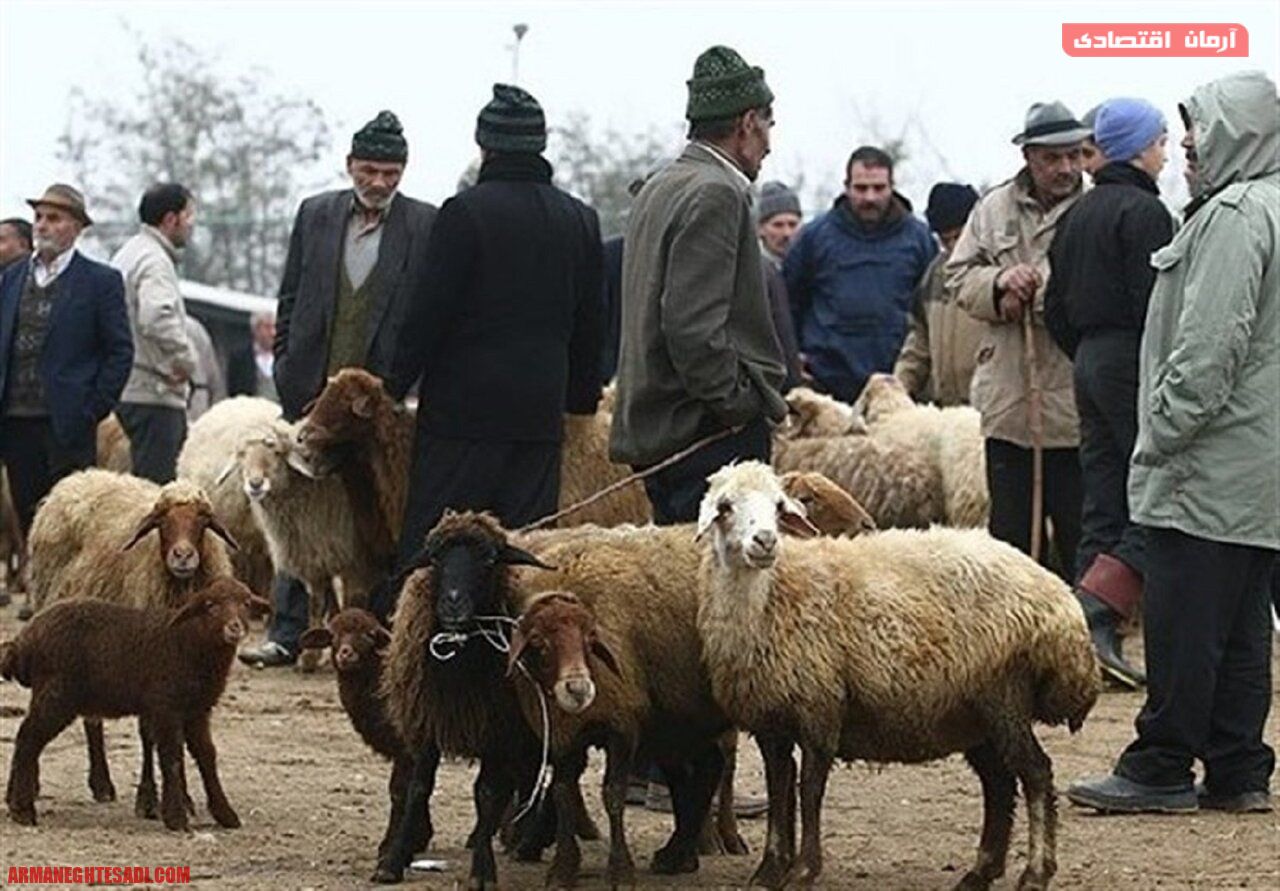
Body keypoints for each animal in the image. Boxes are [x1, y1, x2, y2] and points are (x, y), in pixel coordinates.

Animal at [2, 577, 270, 830]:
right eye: (210, 605)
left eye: (246, 603)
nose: (234, 627)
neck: (187, 642)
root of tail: (24, 639)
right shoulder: (166, 707)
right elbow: (171, 757)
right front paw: (176, 817)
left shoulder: (197, 710)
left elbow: (206, 756)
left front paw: (225, 814)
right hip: (57, 695)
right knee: (28, 739)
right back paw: (23, 810)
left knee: (27, 738)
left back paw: (14, 802)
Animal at [27, 469, 237, 811]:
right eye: (161, 520)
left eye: (203, 519)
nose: (183, 556)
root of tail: (78, 478)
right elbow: (148, 733)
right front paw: (149, 798)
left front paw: (183, 798)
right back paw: (85, 783)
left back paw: (100, 783)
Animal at [297, 609, 435, 860]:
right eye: (333, 635)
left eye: (370, 635)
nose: (345, 653)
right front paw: (419, 837)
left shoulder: (406, 748)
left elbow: (401, 791)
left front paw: (393, 845)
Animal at [693, 461, 1099, 890]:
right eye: (725, 507)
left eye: (779, 505)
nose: (766, 541)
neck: (775, 594)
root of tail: (1059, 599)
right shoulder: (771, 721)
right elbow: (778, 788)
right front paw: (770, 870)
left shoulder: (820, 707)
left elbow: (809, 791)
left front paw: (803, 871)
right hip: (974, 712)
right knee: (999, 783)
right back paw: (980, 871)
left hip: (1004, 695)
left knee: (1035, 774)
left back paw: (1034, 873)